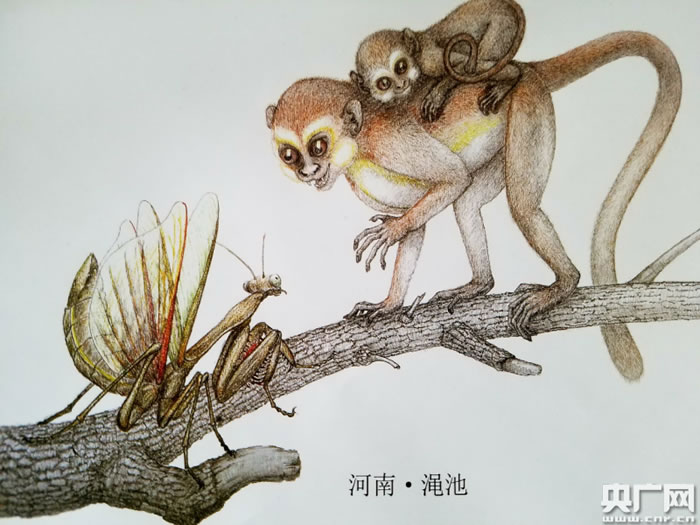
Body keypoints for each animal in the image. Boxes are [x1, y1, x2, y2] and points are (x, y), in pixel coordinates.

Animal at [267, 32, 681, 381]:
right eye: (289, 155)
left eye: (318, 145)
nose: (307, 171)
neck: (358, 145)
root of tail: (525, 66)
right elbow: (419, 222)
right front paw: (389, 304)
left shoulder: (390, 141)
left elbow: (451, 178)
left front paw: (388, 232)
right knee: (466, 205)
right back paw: (479, 285)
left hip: (529, 106)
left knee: (521, 206)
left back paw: (563, 284)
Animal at [349, 0, 525, 122]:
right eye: (384, 83)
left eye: (401, 67)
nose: (400, 85)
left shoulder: (430, 61)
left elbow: (462, 65)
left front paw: (435, 96)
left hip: (502, 25)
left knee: (476, 64)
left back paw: (510, 79)